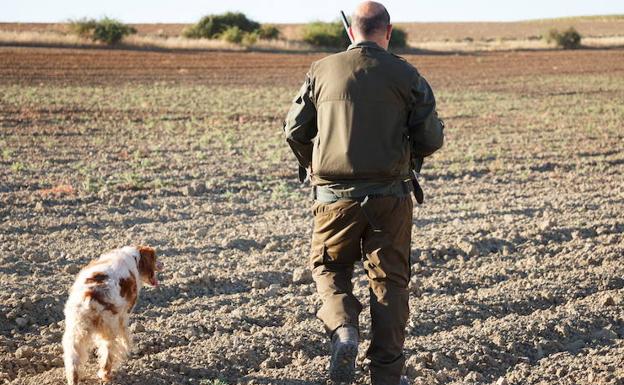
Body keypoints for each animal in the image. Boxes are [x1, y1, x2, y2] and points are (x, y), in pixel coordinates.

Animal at [61, 244, 161, 382]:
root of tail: (90, 296)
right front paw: (132, 349)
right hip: (109, 329)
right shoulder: (124, 315)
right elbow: (126, 336)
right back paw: (106, 375)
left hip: (75, 332)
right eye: (155, 258)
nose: (162, 264)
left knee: (73, 360)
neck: (134, 258)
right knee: (107, 355)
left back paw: (74, 378)